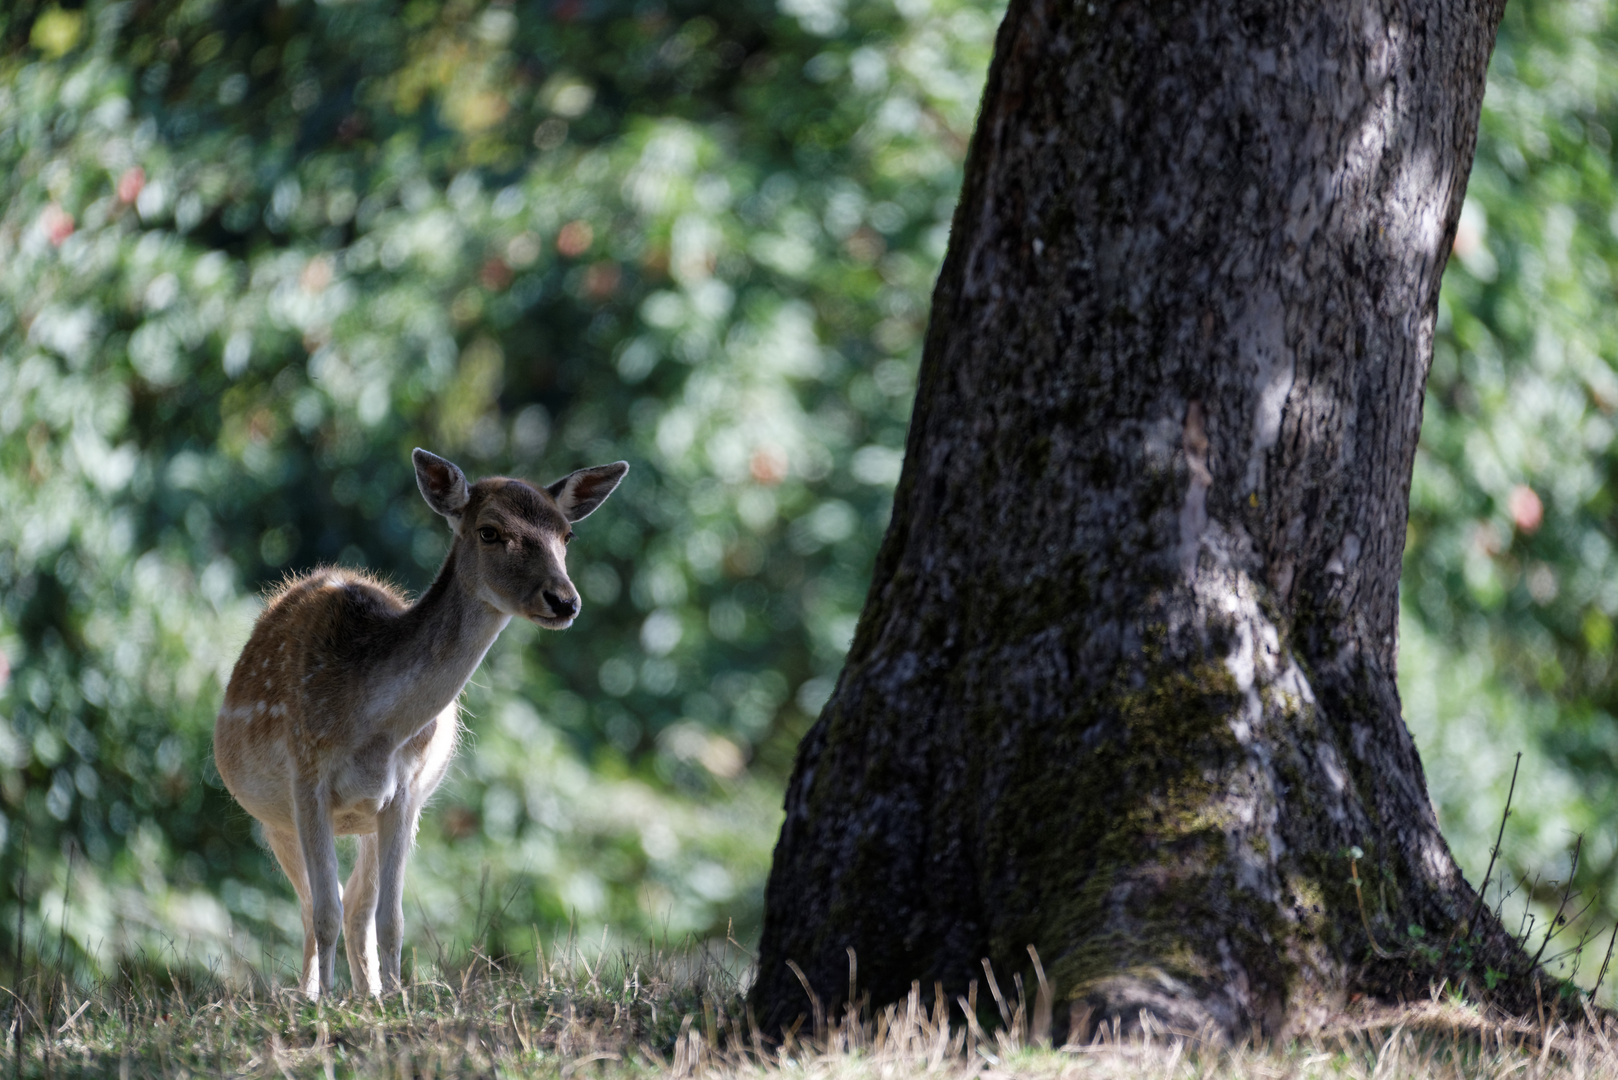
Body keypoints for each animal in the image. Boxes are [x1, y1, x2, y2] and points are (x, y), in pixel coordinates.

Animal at [210, 446, 624, 997]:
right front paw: (324, 1005)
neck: (372, 726)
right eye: (489, 531)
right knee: (314, 905)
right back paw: (311, 993)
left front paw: (393, 999)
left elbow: (391, 918)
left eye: (567, 535)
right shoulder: (306, 778)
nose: (564, 600)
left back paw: (367, 993)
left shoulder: (404, 794)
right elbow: (324, 911)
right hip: (273, 817)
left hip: (369, 818)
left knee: (356, 906)